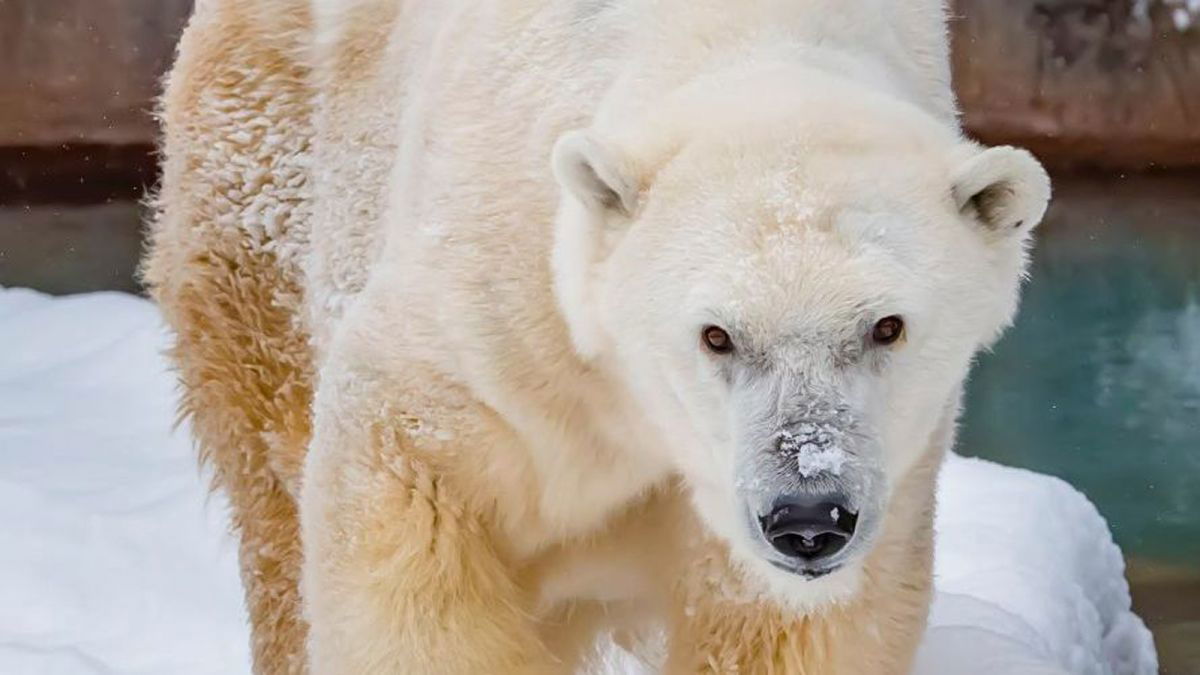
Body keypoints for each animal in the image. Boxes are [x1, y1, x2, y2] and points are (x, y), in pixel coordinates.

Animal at [142, 0, 1051, 667]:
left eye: (887, 326)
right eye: (715, 335)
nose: (807, 516)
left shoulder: (886, 473)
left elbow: (787, 625)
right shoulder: (503, 313)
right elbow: (412, 510)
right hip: (265, 180)